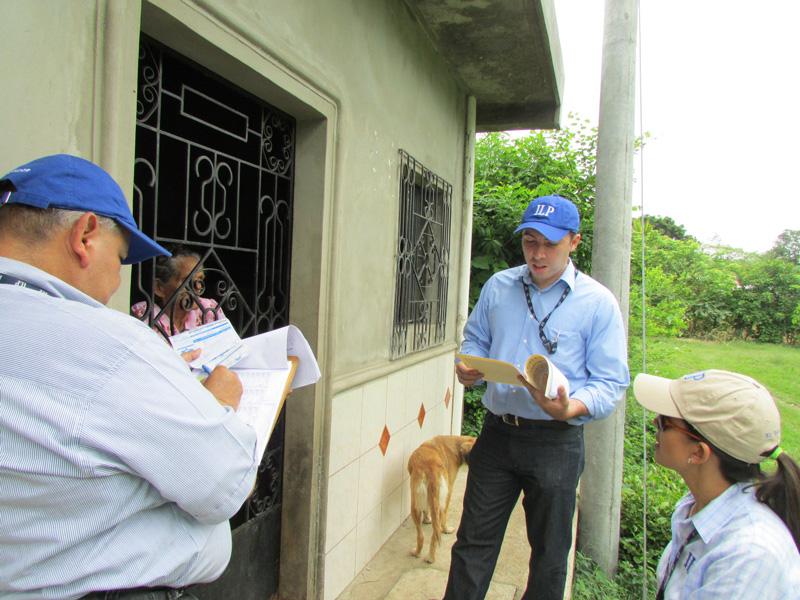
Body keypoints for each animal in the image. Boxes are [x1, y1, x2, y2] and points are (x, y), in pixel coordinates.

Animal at [406, 434, 476, 564]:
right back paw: (430, 557)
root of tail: (431, 467)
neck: (456, 445)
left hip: (416, 505)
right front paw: (446, 528)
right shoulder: (449, 490)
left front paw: (427, 519)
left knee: (422, 536)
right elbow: (444, 517)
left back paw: (418, 553)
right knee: (435, 532)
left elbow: (426, 509)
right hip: (439, 502)